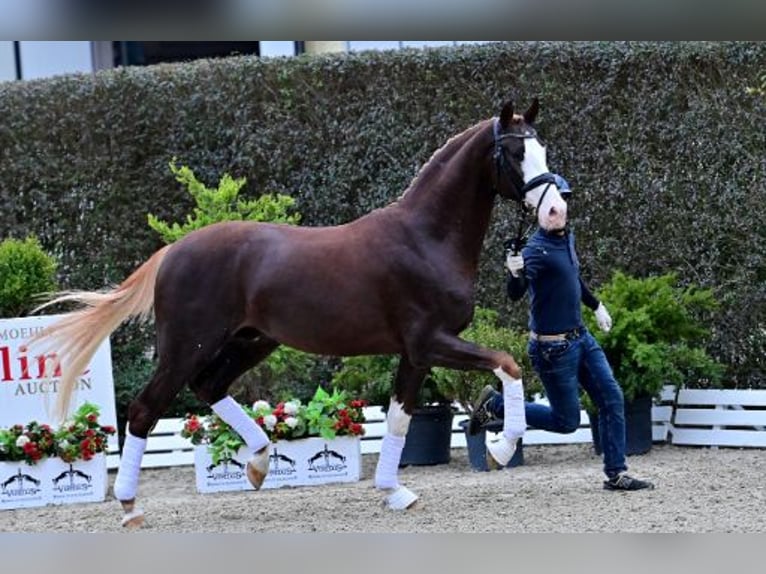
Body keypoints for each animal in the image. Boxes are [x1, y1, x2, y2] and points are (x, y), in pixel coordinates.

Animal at [27, 97, 568, 528]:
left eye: (542, 149)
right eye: (514, 152)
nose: (555, 212)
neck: (424, 238)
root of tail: (174, 251)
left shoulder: (416, 355)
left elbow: (399, 419)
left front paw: (395, 492)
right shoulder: (430, 342)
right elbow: (508, 364)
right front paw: (500, 447)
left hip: (250, 341)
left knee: (208, 388)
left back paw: (260, 463)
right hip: (185, 346)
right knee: (144, 410)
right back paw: (130, 507)